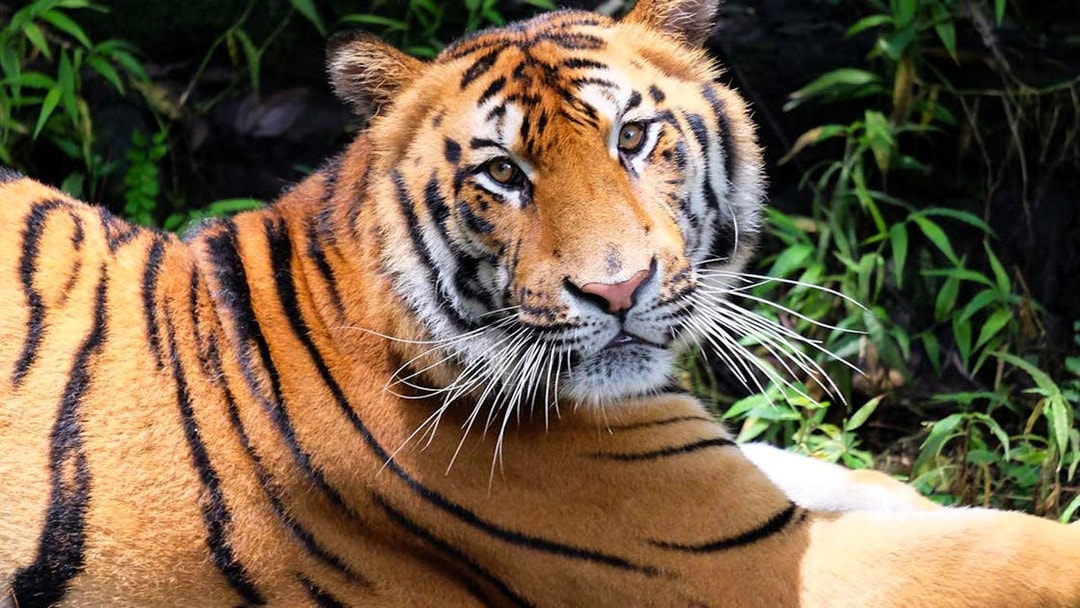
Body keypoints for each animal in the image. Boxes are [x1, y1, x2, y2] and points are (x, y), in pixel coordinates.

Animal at [1, 0, 1078, 605]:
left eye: (635, 138)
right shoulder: (737, 559)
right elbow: (1005, 555)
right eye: (503, 175)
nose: (616, 288)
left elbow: (868, 482)